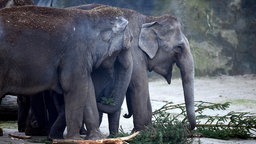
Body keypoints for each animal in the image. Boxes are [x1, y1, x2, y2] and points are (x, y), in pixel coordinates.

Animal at [0, 5, 132, 140]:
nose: (125, 114)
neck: (91, 16)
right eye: (128, 44)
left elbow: (87, 88)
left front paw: (96, 138)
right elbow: (76, 87)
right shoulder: (75, 53)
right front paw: (75, 139)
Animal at [70, 3, 196, 134]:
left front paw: (150, 130)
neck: (148, 19)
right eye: (179, 48)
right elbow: (139, 85)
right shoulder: (134, 53)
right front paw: (141, 132)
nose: (187, 127)